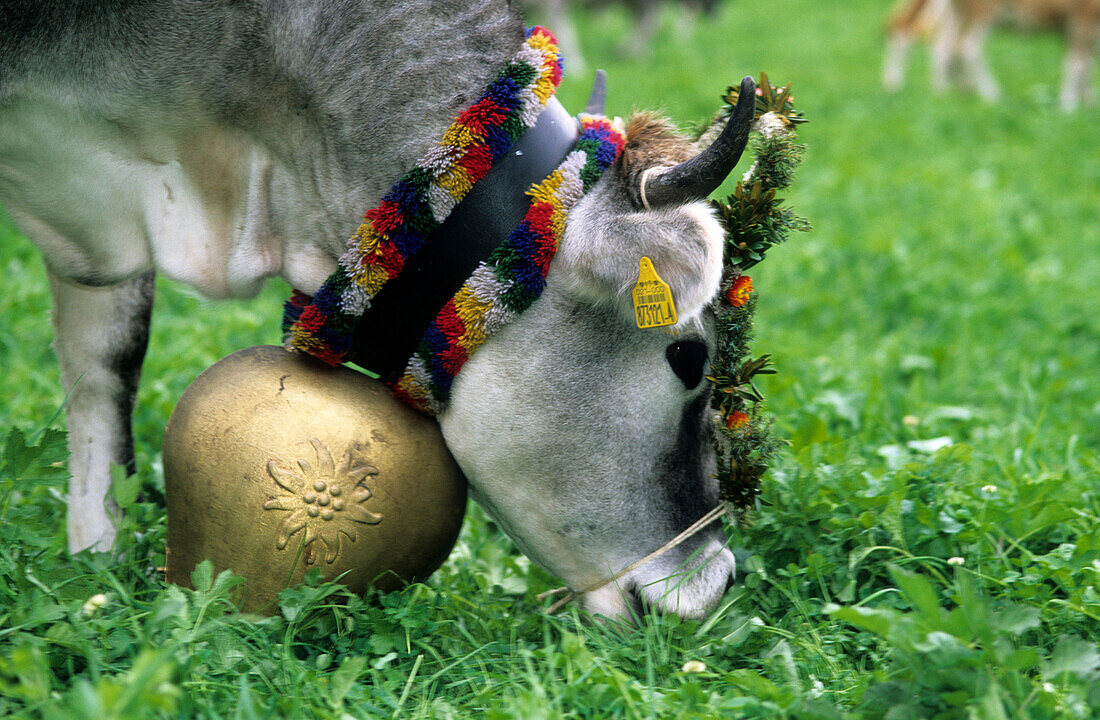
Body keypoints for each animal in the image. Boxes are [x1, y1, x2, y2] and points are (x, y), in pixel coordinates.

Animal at [884, 0, 1100, 110]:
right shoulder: (1083, 19)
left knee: (943, 45)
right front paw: (1069, 106)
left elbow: (1084, 66)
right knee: (966, 46)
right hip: (980, 10)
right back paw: (990, 95)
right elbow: (1077, 65)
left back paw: (947, 91)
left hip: (957, 11)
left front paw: (1088, 102)